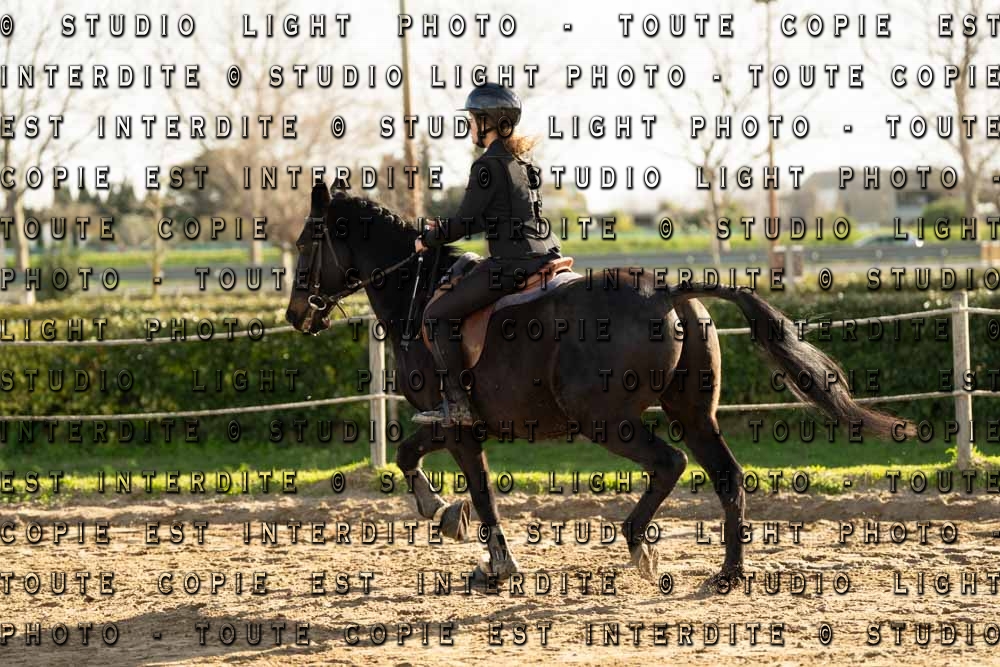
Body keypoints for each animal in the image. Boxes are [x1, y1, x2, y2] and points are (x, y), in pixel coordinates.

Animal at [285, 182, 914, 587]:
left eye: (304, 244)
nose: (295, 316)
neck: (418, 291)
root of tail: (668, 291)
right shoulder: (453, 426)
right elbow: (417, 457)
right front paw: (446, 516)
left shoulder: (459, 426)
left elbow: (469, 485)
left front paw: (478, 547)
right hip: (692, 414)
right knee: (726, 476)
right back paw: (728, 575)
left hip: (606, 421)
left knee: (669, 463)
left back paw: (639, 546)